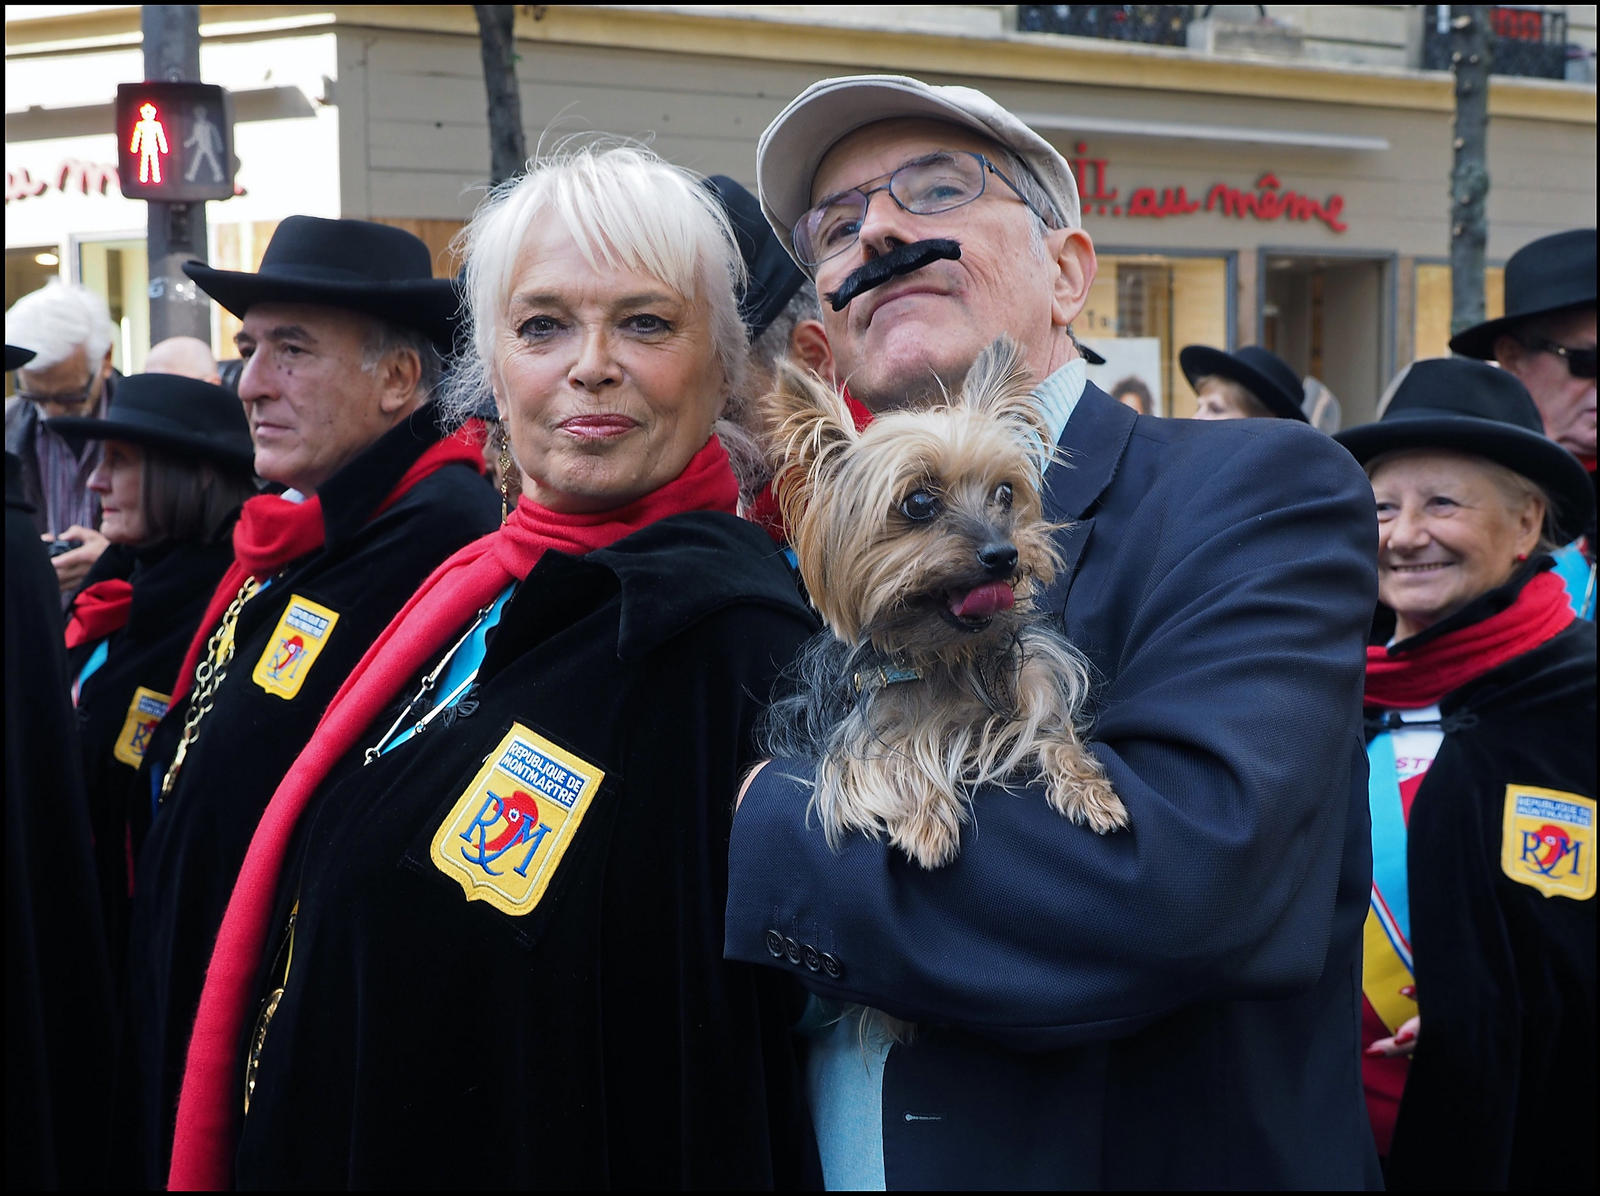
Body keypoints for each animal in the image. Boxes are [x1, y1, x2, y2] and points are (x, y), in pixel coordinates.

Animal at [758, 335, 1126, 869]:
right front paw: (924, 821)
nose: (1004, 554)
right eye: (917, 503)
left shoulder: (1035, 681)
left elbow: (1056, 731)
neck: (944, 655)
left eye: (1005, 492)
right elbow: (888, 758)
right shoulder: (862, 728)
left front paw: (1090, 790)